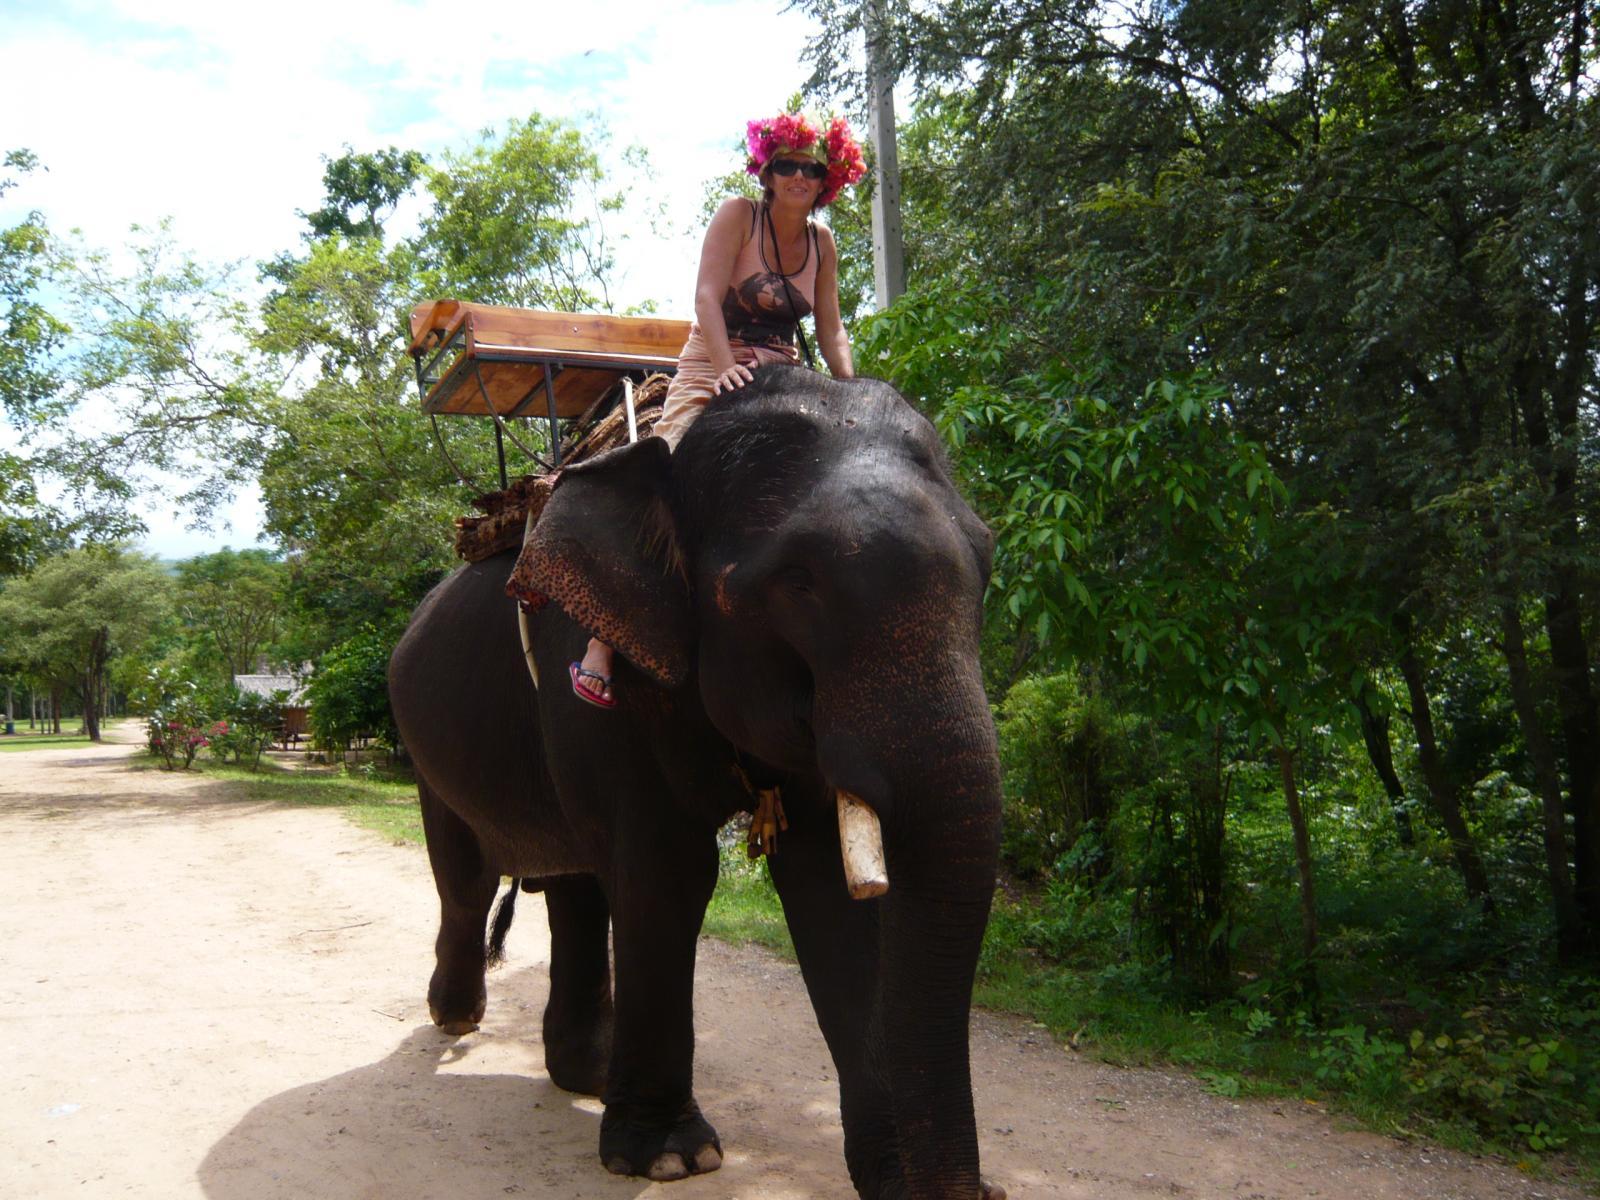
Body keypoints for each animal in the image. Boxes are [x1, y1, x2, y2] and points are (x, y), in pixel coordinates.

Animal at [388, 366, 1004, 1200]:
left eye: (988, 564)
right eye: (797, 581)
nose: (978, 1190)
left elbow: (826, 885)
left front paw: (895, 1177)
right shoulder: (593, 658)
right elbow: (666, 874)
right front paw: (671, 1158)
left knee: (577, 888)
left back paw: (583, 1074)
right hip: (428, 747)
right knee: (466, 878)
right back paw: (457, 1021)